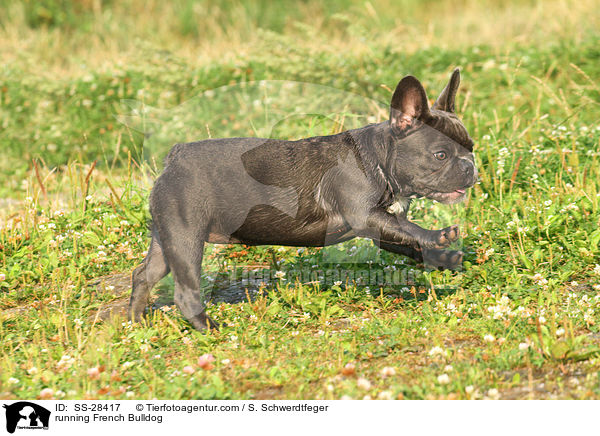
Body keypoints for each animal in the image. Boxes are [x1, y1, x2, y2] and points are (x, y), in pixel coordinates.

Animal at [131, 68, 478, 328]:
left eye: (471, 147)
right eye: (440, 155)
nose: (470, 166)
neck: (382, 159)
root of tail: (174, 158)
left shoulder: (383, 224)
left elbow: (407, 240)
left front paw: (444, 258)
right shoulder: (366, 216)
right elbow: (412, 231)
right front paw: (439, 236)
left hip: (166, 238)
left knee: (144, 274)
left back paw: (136, 321)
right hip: (186, 236)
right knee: (184, 292)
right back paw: (209, 327)